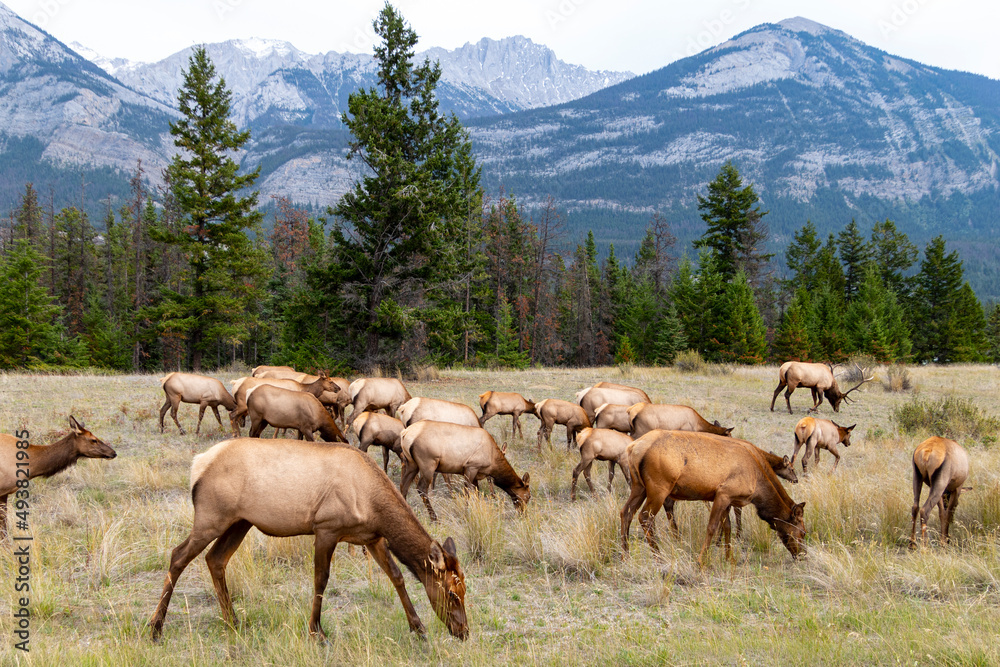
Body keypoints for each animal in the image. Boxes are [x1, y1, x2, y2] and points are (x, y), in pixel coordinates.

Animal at [149, 438, 469, 642]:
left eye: (465, 591)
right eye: (452, 594)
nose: (464, 631)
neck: (374, 505)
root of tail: (197, 464)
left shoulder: (372, 537)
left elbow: (397, 576)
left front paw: (418, 627)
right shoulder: (326, 528)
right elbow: (321, 579)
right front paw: (317, 631)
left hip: (239, 522)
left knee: (215, 559)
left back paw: (233, 621)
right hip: (211, 517)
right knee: (178, 555)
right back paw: (155, 627)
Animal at [399, 421, 530, 522]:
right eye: (528, 496)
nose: (523, 513)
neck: (493, 460)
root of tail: (405, 434)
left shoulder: (476, 474)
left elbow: (477, 493)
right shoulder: (471, 467)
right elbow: (467, 492)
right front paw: (466, 513)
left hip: (411, 464)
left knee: (403, 486)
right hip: (428, 464)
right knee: (421, 488)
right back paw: (434, 518)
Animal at [621, 430, 806, 567]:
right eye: (803, 532)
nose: (803, 554)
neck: (757, 486)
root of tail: (633, 448)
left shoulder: (727, 498)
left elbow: (727, 527)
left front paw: (729, 558)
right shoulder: (724, 494)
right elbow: (712, 527)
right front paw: (701, 560)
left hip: (639, 486)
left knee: (626, 512)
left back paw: (625, 554)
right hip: (659, 487)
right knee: (645, 517)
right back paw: (658, 557)